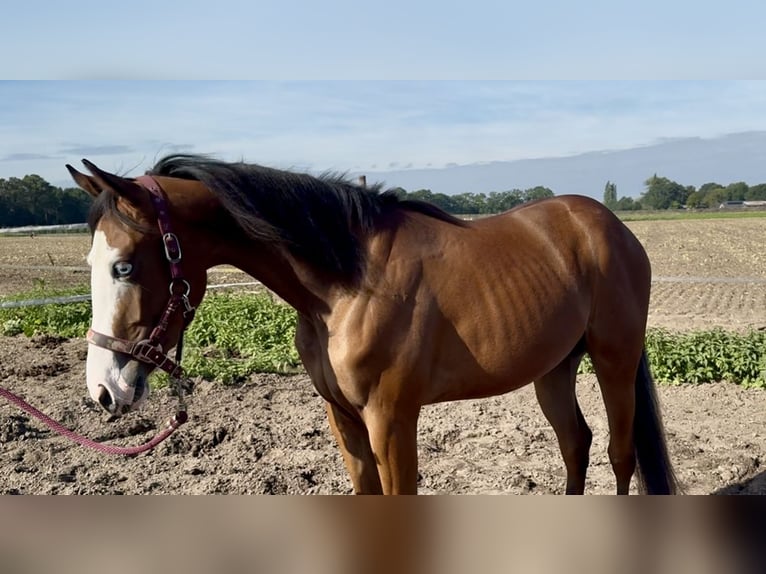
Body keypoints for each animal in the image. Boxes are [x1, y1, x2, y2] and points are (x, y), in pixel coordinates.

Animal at [67, 154, 677, 495]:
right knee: (575, 445)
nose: (104, 388)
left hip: (614, 361)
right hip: (553, 369)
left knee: (620, 456)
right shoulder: (343, 418)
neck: (346, 285)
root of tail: (607, 224)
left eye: (125, 265)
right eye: (91, 262)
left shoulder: (391, 419)